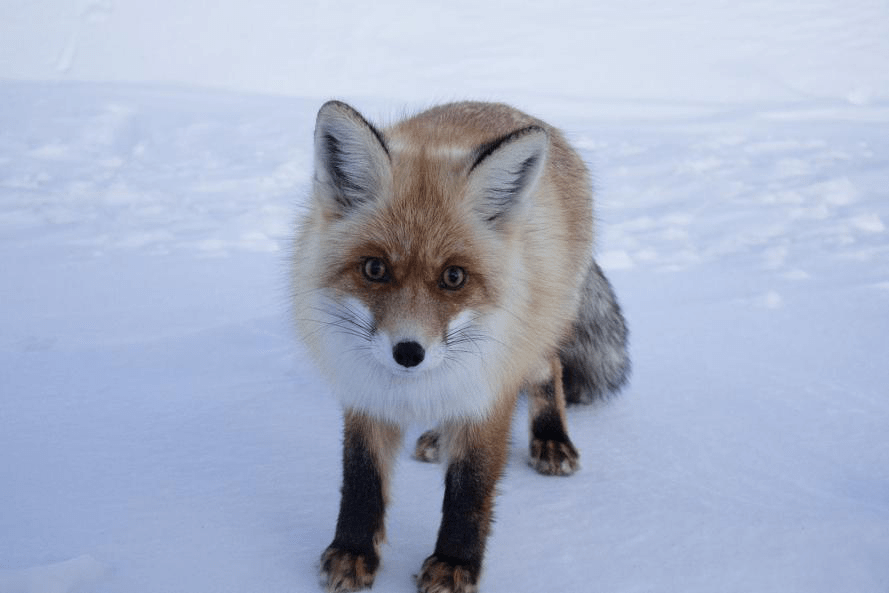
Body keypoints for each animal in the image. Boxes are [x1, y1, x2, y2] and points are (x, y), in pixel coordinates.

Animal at [292, 99, 632, 588]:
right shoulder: (366, 392)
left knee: (549, 368)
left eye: (453, 277)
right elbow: (361, 479)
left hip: (536, 334)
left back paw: (551, 439)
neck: (410, 388)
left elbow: (470, 490)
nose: (408, 353)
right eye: (374, 269)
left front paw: (455, 564)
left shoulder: (487, 393)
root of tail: (516, 111)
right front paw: (353, 552)